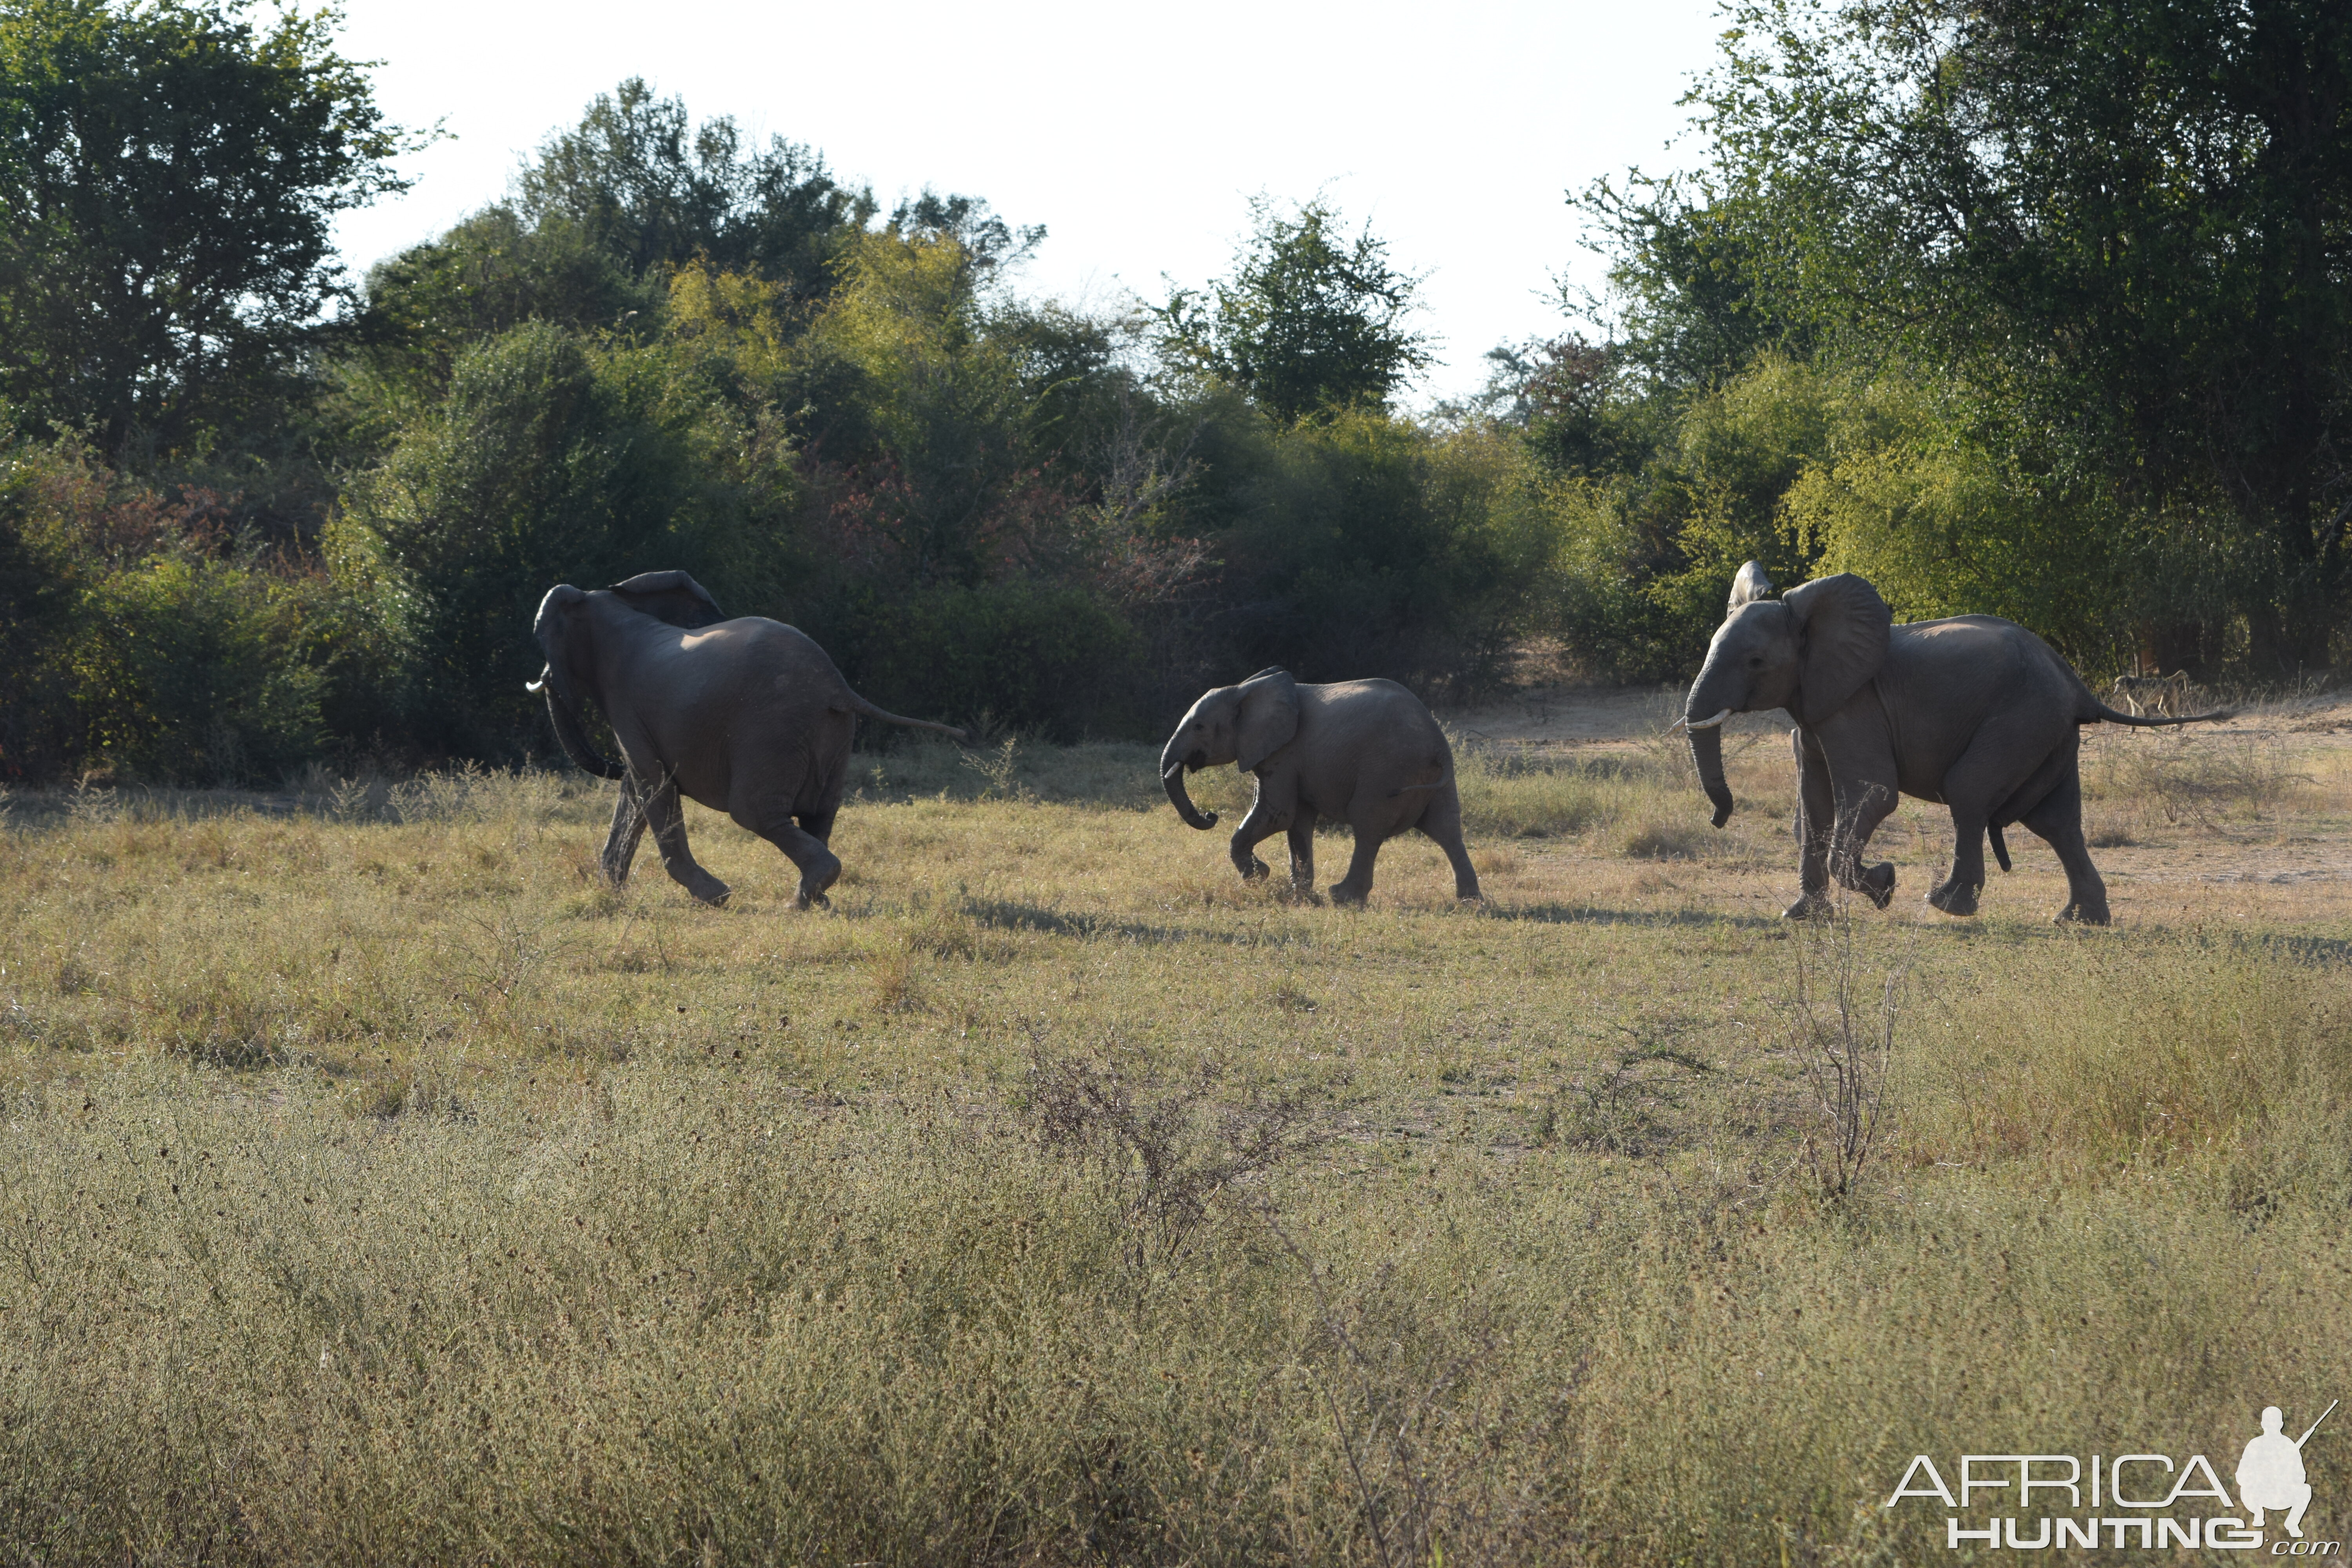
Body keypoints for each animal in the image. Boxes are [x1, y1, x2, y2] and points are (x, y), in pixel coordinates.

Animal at [534, 576, 964, 912]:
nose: (543, 678)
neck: (607, 600)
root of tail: (837, 685)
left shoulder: (627, 708)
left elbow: (652, 784)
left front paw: (716, 898)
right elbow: (637, 790)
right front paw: (611, 890)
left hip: (772, 730)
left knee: (754, 813)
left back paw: (797, 903)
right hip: (832, 732)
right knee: (819, 814)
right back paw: (814, 900)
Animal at [1152, 668, 1468, 907]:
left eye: (1199, 727)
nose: (1211, 816)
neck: (1244, 689)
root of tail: (1437, 742)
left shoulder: (1284, 753)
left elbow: (1279, 814)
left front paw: (1258, 877)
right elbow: (1297, 823)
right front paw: (1299, 897)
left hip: (1386, 770)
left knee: (1368, 828)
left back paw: (1342, 898)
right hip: (1430, 777)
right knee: (1446, 829)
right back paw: (1469, 902)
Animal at [1684, 564, 2230, 926]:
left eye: (1756, 662)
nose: (1717, 817)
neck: (1811, 624)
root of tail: (2078, 687)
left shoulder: (1855, 707)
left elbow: (1873, 793)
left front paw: (1884, 886)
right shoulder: (1815, 709)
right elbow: (1811, 806)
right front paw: (1800, 916)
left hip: (2021, 719)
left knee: (1969, 793)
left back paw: (1946, 904)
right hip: (2048, 731)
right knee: (2056, 821)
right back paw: (2078, 920)